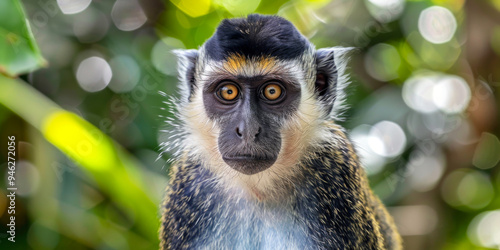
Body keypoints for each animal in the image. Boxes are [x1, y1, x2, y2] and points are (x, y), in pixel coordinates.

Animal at [160, 14, 402, 250]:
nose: (248, 129)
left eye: (272, 91)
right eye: (228, 91)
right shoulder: (189, 183)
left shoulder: (336, 168)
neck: (259, 189)